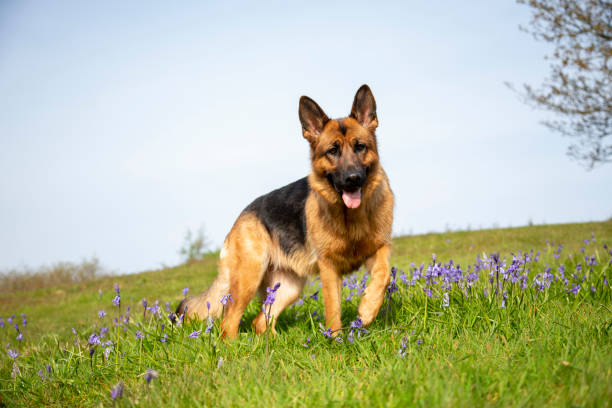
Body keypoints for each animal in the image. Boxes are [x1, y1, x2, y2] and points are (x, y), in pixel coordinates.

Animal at [176, 83, 392, 338]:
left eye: (360, 147)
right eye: (332, 151)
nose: (353, 179)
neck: (352, 217)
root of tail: (241, 216)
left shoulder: (380, 248)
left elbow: (384, 275)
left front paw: (367, 310)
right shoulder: (329, 268)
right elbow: (333, 310)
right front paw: (336, 340)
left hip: (288, 287)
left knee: (260, 321)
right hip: (249, 278)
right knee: (228, 323)